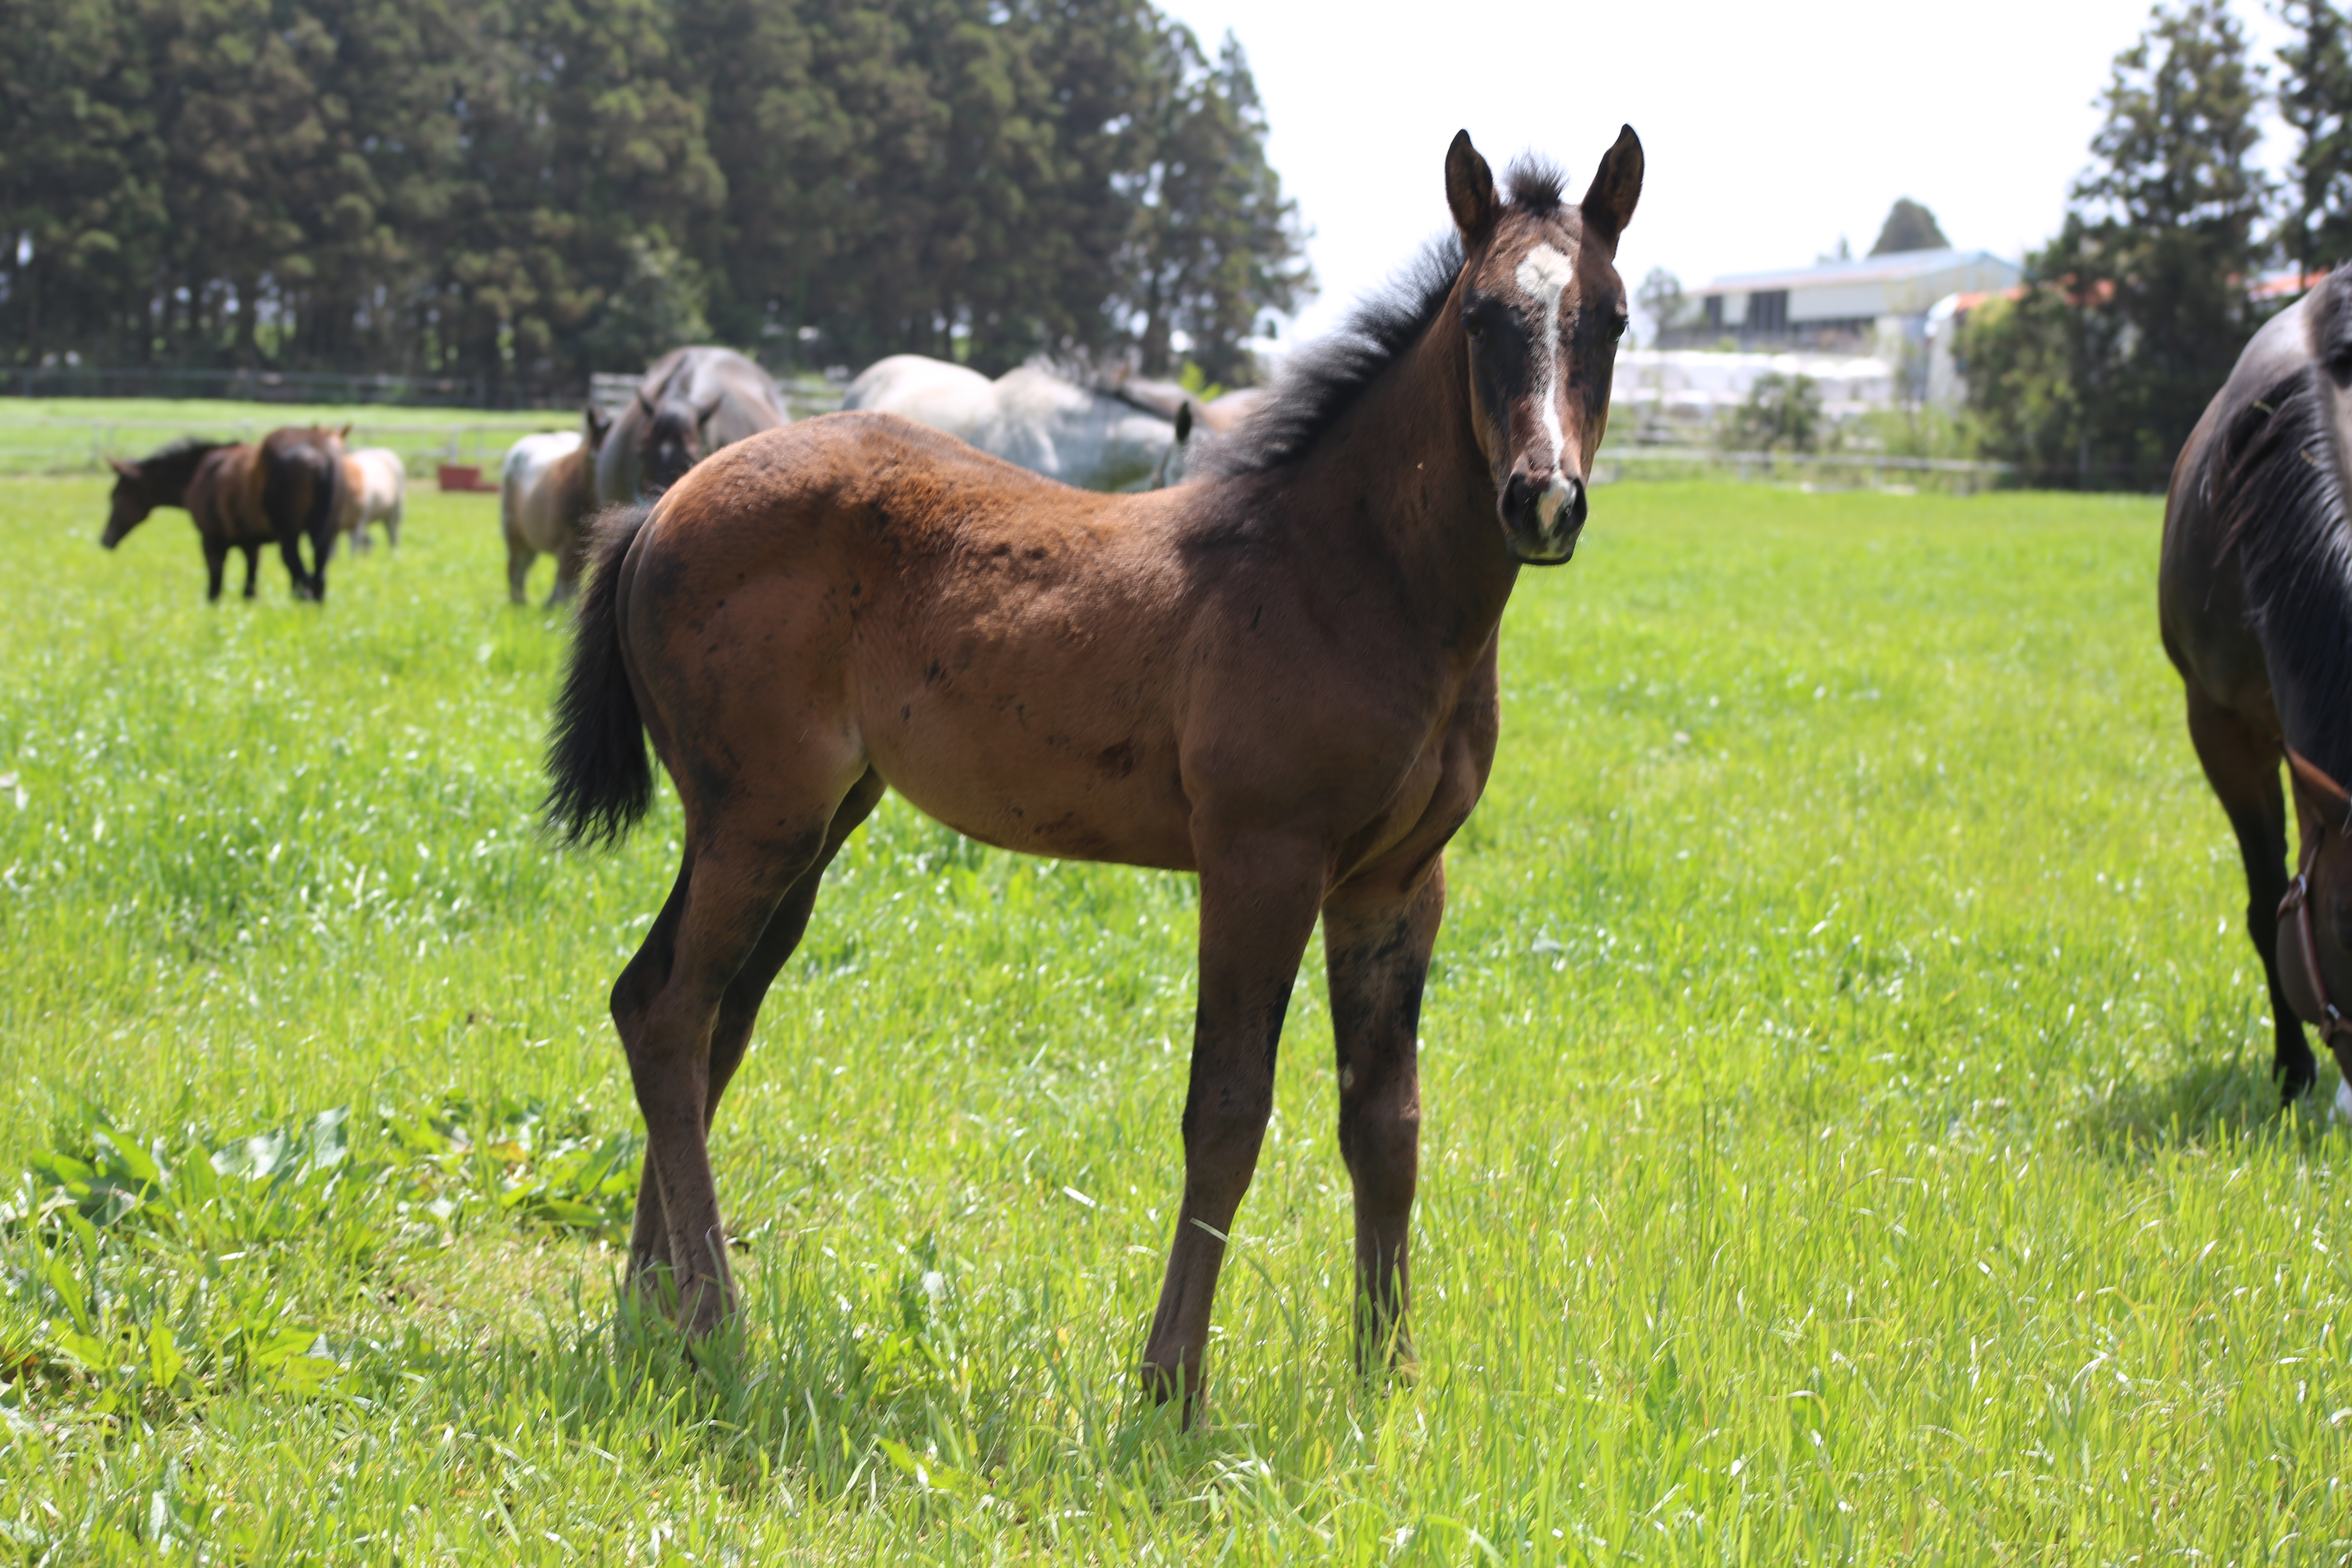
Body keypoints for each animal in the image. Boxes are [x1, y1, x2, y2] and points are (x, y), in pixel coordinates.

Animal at [106, 423, 348, 601]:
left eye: (117, 495)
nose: (105, 539)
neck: (197, 474)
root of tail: (321, 455)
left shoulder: (212, 540)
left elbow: (215, 591)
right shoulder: (252, 544)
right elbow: (250, 592)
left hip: (289, 537)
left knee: (303, 581)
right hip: (324, 538)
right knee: (318, 581)